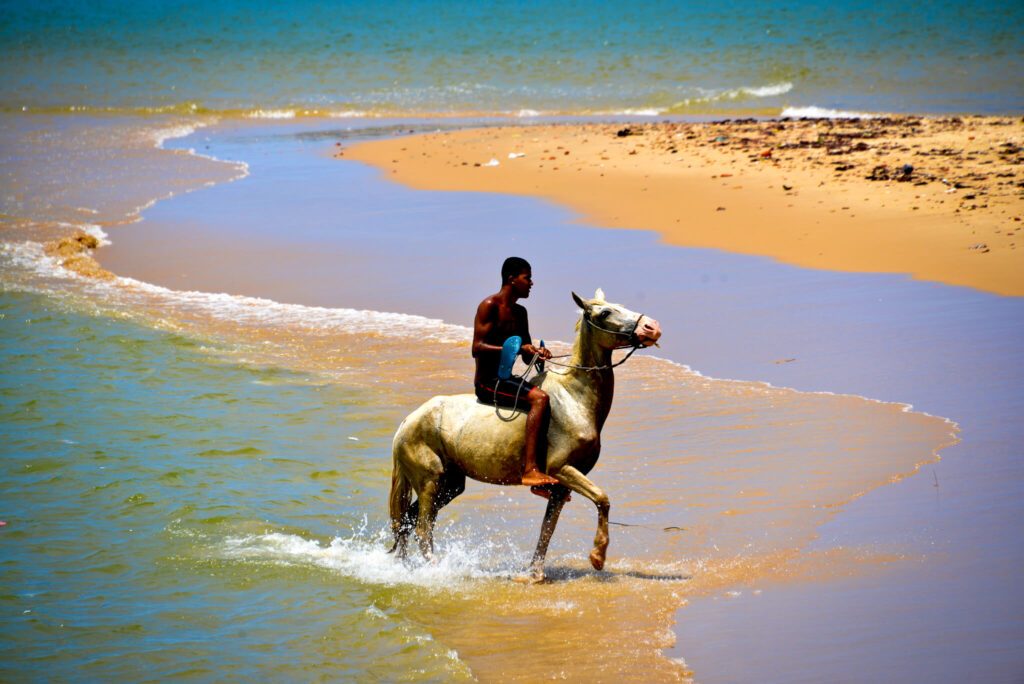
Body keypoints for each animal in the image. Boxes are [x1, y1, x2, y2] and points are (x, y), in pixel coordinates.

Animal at [388, 289, 662, 582]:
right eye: (605, 313)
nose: (652, 327)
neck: (574, 398)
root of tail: (406, 423)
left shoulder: (562, 485)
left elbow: (547, 529)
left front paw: (535, 574)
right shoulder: (561, 469)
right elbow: (602, 499)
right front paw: (597, 556)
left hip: (449, 484)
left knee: (406, 523)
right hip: (431, 481)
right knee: (422, 529)